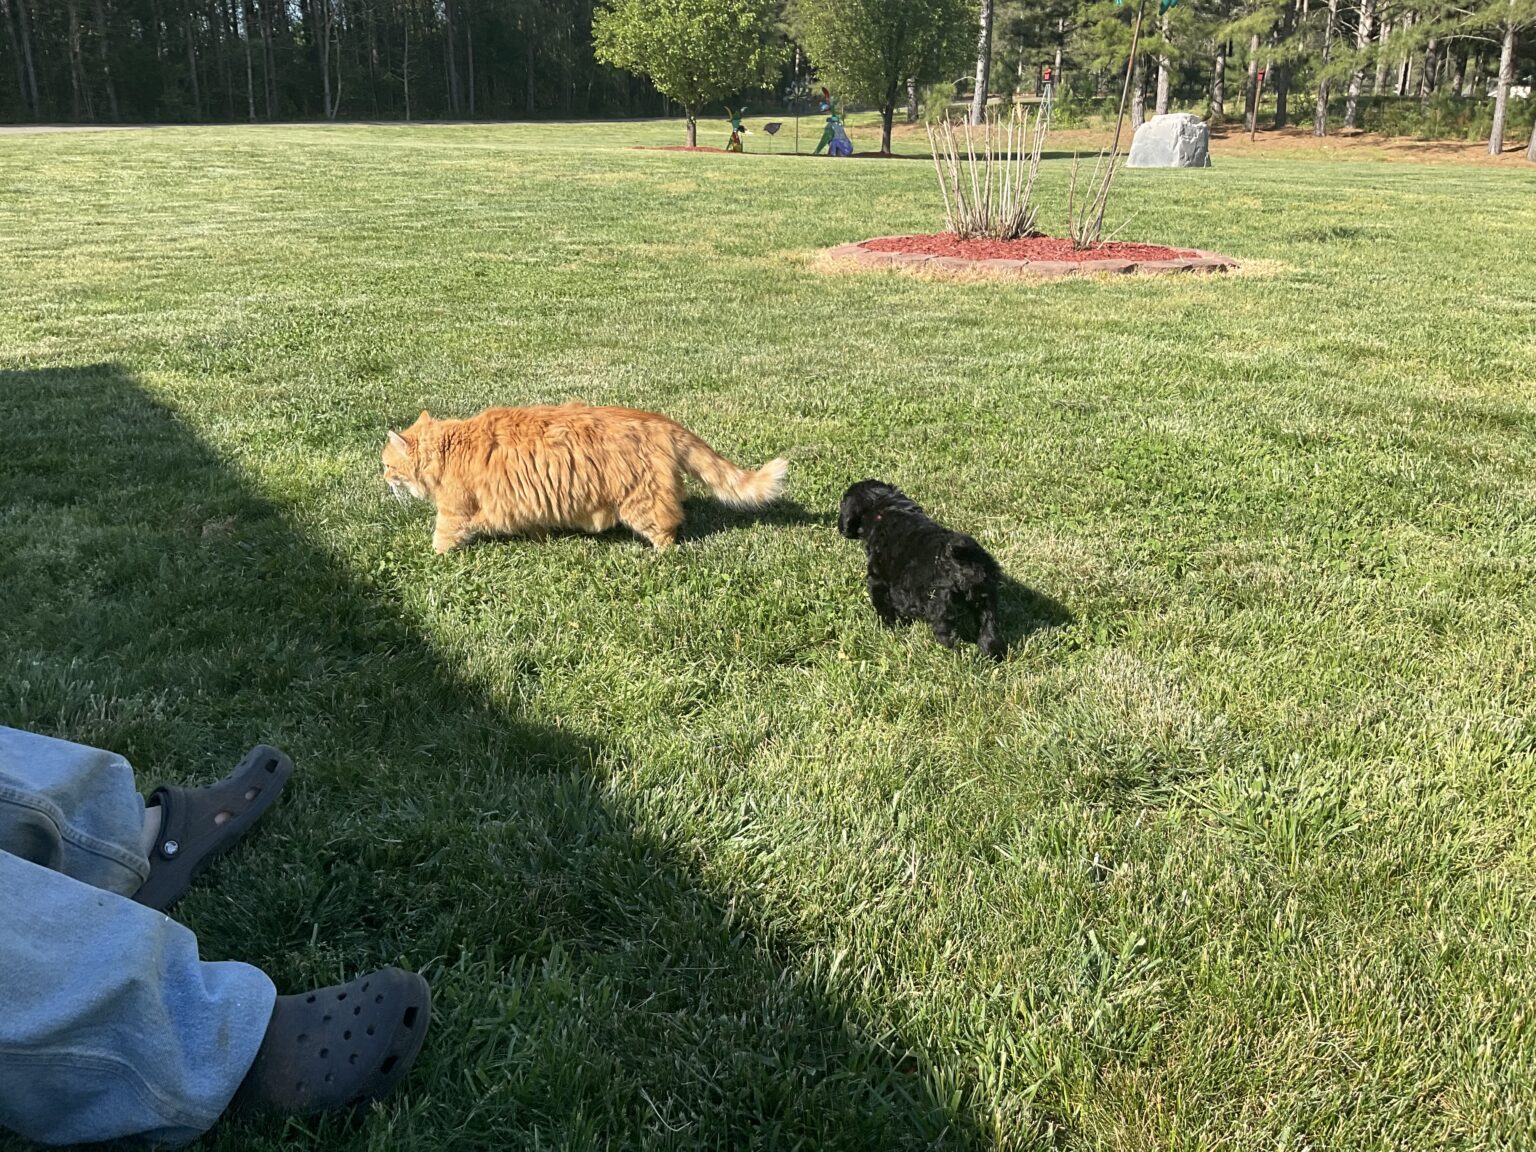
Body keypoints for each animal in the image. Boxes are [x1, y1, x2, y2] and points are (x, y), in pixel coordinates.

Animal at [384, 402, 792, 552]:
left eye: (388, 466)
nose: (383, 478)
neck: (451, 446)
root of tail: (659, 420)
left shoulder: (455, 509)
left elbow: (442, 536)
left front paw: (433, 557)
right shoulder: (527, 501)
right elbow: (534, 523)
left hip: (641, 502)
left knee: (668, 528)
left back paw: (661, 555)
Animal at [841, 479, 1007, 657]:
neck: (883, 509)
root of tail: (963, 559)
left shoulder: (877, 579)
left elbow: (883, 603)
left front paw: (890, 625)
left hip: (940, 605)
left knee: (947, 635)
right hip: (987, 598)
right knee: (990, 627)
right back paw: (991, 654)